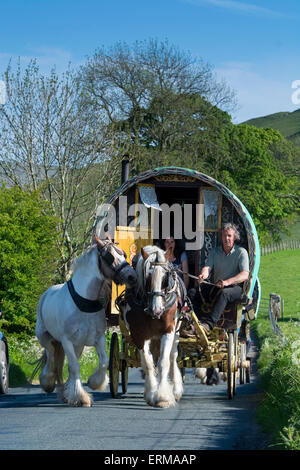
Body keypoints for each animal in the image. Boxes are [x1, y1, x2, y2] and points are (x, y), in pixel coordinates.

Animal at [35, 235, 137, 408]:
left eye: (123, 253)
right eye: (109, 256)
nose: (133, 276)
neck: (84, 301)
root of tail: (47, 293)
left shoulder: (98, 338)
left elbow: (103, 362)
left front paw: (94, 383)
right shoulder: (66, 340)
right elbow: (75, 366)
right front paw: (81, 398)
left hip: (78, 345)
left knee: (62, 365)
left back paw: (65, 393)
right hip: (47, 338)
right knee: (52, 359)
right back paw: (48, 382)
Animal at [122, 246, 184, 408]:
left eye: (165, 278)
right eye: (148, 278)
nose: (157, 310)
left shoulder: (168, 330)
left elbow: (163, 362)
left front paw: (162, 397)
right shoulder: (138, 335)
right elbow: (149, 363)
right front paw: (152, 393)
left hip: (176, 332)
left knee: (172, 357)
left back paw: (176, 389)